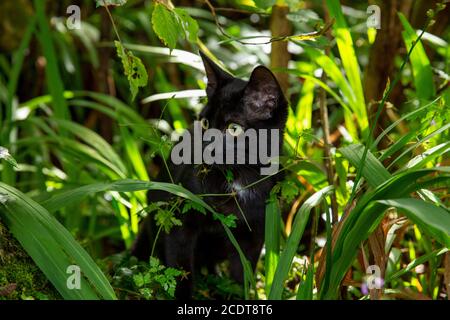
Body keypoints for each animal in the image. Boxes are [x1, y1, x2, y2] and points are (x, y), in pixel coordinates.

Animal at [132, 51, 290, 298]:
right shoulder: (180, 223)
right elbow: (181, 270)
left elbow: (241, 276)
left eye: (233, 129)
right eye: (205, 123)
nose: (204, 145)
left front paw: (236, 295)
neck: (239, 178)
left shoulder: (254, 234)